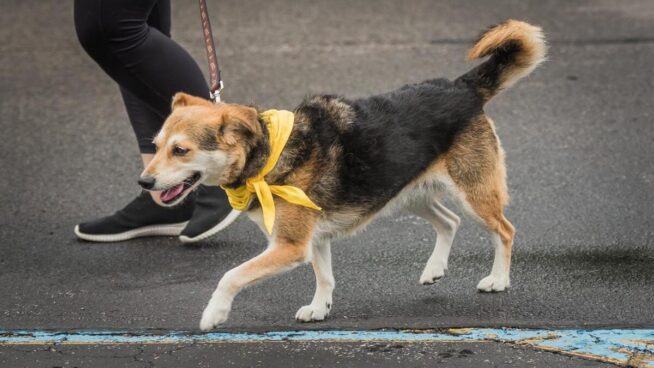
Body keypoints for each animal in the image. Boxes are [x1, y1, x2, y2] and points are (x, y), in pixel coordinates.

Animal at [140, 20, 548, 330]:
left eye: (180, 150)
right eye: (155, 146)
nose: (144, 183)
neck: (268, 156)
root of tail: (462, 88)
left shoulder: (290, 246)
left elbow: (231, 275)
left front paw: (214, 313)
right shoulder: (314, 239)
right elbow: (325, 276)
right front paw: (320, 308)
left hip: (473, 193)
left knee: (504, 231)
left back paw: (498, 280)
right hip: (404, 193)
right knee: (449, 222)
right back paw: (434, 269)